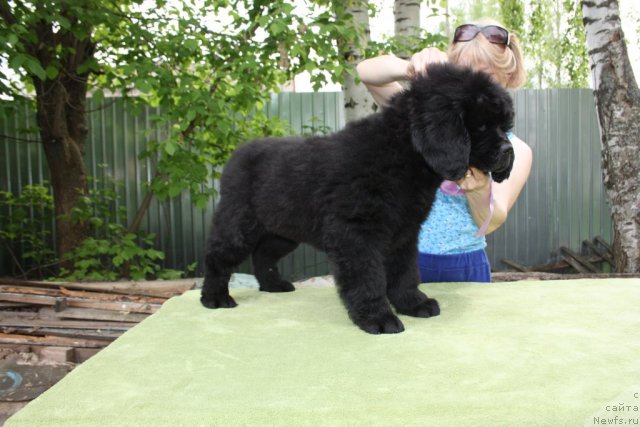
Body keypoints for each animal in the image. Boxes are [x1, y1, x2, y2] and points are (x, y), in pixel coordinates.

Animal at [200, 63, 516, 336]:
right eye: (481, 126)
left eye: (504, 126)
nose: (508, 152)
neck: (404, 154)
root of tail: (236, 154)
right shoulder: (356, 232)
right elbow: (368, 277)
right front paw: (379, 318)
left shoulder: (403, 232)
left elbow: (405, 272)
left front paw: (413, 303)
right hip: (239, 224)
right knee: (218, 257)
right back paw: (214, 298)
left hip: (282, 231)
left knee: (263, 254)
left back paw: (273, 285)